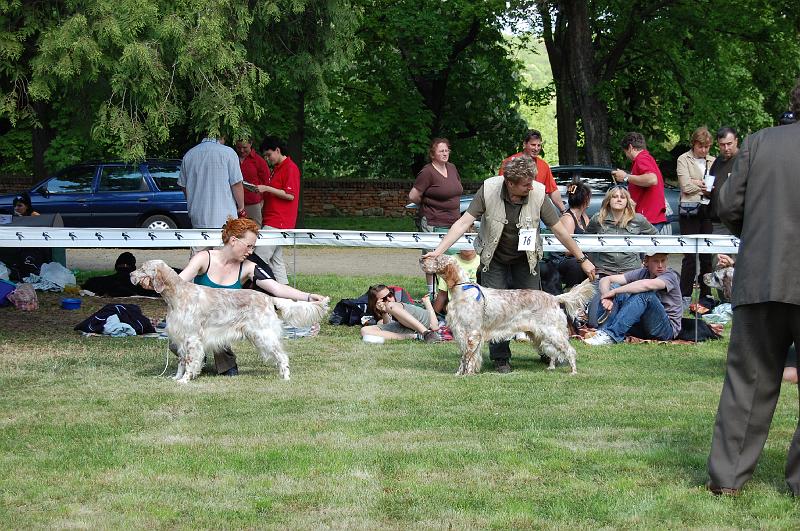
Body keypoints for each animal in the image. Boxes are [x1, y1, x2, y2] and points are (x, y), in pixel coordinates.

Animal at [131, 260, 328, 382]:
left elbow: (190, 362)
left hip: (264, 335)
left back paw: (285, 377)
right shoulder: (180, 339)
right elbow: (182, 361)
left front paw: (185, 380)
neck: (177, 295)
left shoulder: (192, 338)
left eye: (142, 268)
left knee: (282, 356)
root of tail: (267, 297)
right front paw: (176, 378)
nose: (131, 274)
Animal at [418, 256, 592, 376]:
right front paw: (466, 373)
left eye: (437, 259)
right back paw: (551, 367)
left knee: (569, 351)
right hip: (540, 335)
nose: (422, 258)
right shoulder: (464, 333)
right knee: (553, 353)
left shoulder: (472, 333)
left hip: (552, 332)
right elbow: (470, 357)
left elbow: (466, 357)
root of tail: (554, 298)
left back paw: (573, 371)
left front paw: (464, 374)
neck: (462, 291)